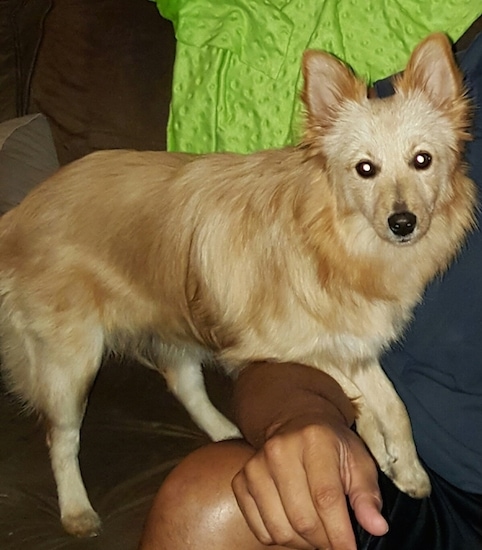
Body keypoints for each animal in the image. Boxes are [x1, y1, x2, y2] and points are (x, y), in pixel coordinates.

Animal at [0, 34, 474, 540]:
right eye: (365, 169)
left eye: (422, 161)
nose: (402, 223)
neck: (335, 242)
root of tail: (20, 214)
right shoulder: (278, 347)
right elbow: (360, 397)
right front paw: (377, 448)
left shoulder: (353, 343)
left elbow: (394, 405)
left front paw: (406, 467)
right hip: (73, 363)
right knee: (62, 436)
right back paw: (76, 509)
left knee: (182, 381)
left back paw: (225, 432)